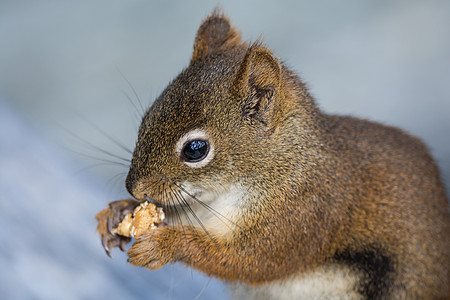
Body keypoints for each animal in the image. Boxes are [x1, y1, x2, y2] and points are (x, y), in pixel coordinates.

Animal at [96, 9, 450, 300]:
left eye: (195, 150)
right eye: (147, 118)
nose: (134, 188)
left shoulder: (303, 217)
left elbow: (249, 261)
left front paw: (165, 245)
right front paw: (119, 212)